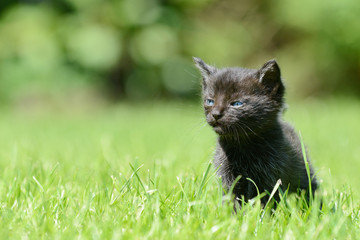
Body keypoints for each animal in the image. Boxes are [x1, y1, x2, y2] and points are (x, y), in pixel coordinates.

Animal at [194, 57, 318, 206]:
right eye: (210, 101)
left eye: (237, 103)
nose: (216, 114)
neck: (242, 146)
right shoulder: (228, 179)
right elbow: (233, 202)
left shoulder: (271, 180)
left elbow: (267, 203)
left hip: (303, 173)